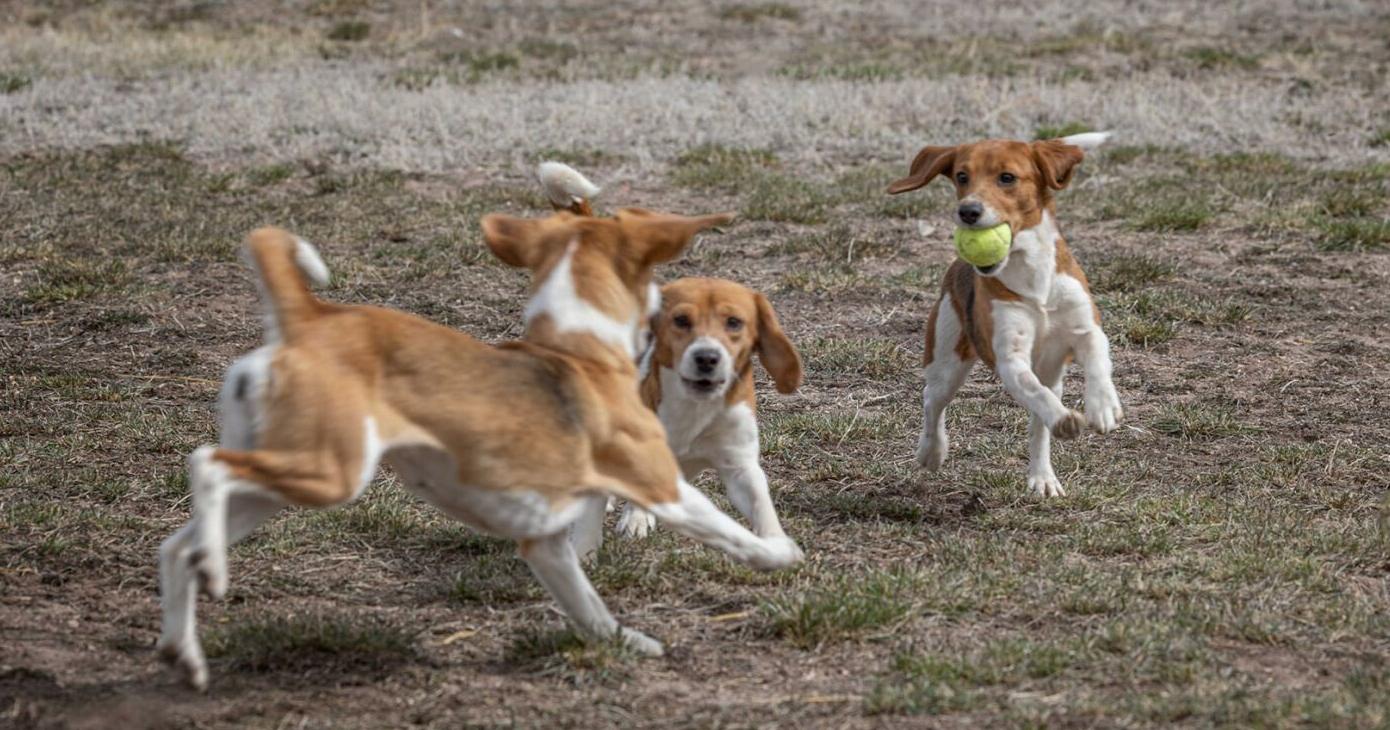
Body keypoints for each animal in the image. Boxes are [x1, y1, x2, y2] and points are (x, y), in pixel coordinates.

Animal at [154, 177, 806, 689]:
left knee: (177, 544)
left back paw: (186, 641)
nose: (704, 358)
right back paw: (214, 573)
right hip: (330, 470)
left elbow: (588, 604)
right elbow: (727, 530)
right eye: (677, 317)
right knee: (206, 462)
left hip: (281, 482)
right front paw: (782, 555)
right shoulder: (657, 480)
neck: (578, 348)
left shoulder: (545, 540)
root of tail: (307, 319)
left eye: (733, 323)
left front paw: (627, 643)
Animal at [884, 130, 1123, 495]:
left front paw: (1102, 406)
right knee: (933, 402)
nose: (967, 211)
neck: (1031, 272)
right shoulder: (1010, 358)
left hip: (1051, 373)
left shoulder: (1086, 328)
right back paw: (932, 451)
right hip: (947, 360)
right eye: (961, 176)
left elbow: (1096, 358)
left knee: (1039, 424)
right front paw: (1067, 419)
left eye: (1007, 177)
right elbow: (1035, 393)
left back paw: (1043, 477)